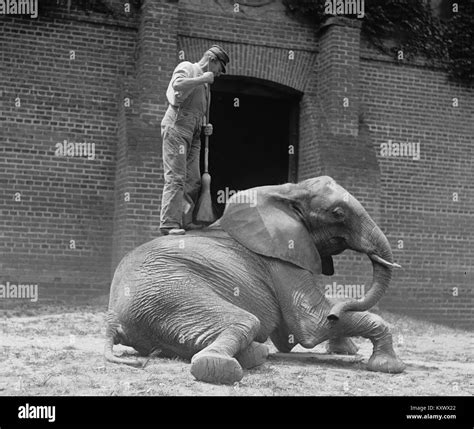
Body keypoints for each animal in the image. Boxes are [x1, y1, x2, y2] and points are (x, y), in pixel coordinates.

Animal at [105, 176, 406, 382]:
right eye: (338, 213)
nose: (336, 317)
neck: (288, 191)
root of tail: (113, 321)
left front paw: (345, 347)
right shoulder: (280, 260)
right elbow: (312, 325)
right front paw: (389, 367)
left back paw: (257, 353)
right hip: (171, 295)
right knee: (245, 321)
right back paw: (224, 365)